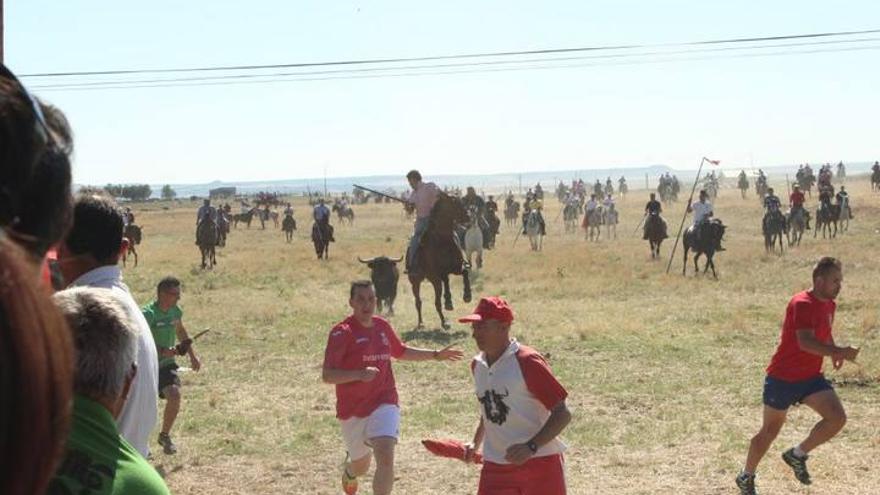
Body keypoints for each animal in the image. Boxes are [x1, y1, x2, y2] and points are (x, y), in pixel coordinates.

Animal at [410, 194, 470, 330]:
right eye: (455, 203)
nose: (468, 216)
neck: (443, 240)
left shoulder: (456, 267)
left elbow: (465, 272)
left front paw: (467, 295)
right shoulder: (438, 272)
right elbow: (445, 280)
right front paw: (448, 301)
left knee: (437, 301)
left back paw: (444, 320)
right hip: (417, 282)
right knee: (420, 302)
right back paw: (423, 323)